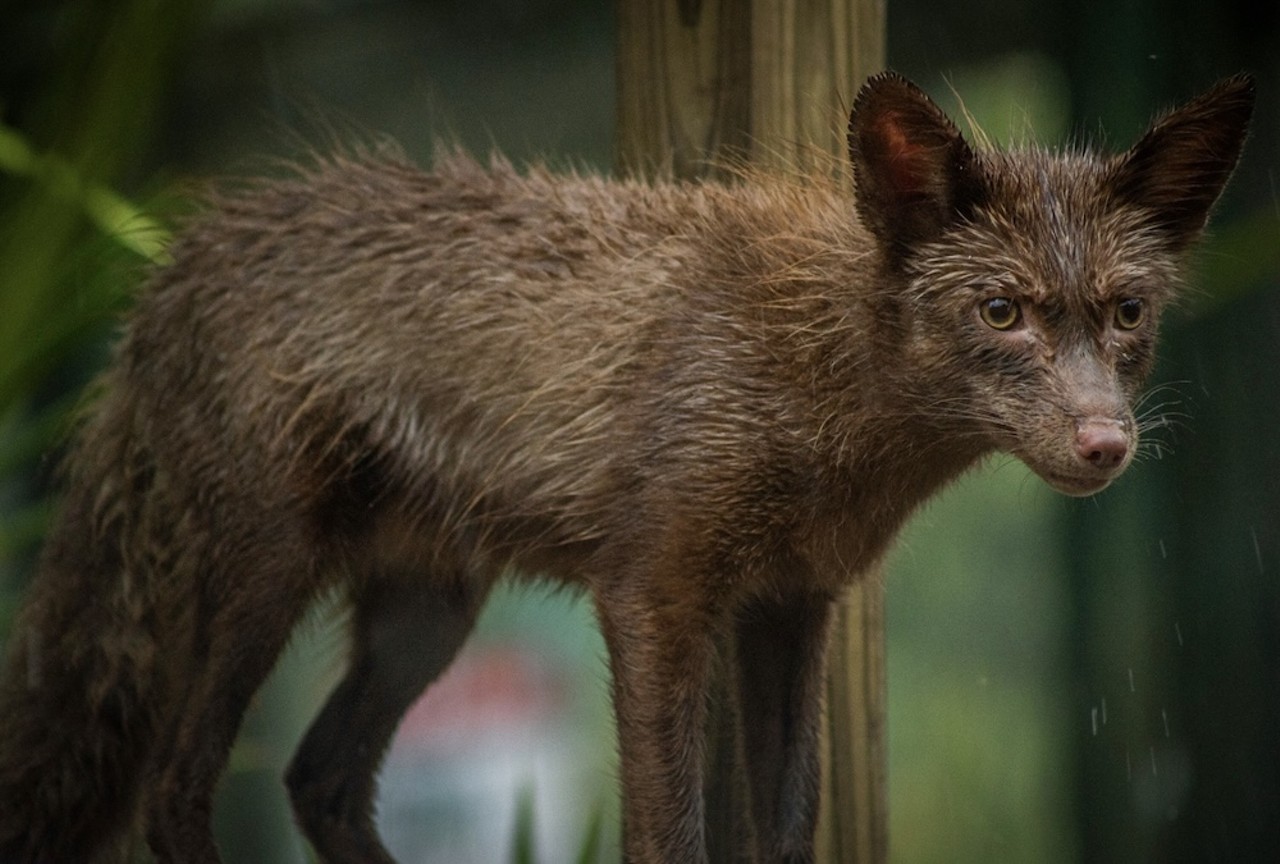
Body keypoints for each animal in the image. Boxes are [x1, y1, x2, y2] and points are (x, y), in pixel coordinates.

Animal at [0, 71, 1254, 860]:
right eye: (1001, 312)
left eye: (1125, 314)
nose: (1104, 444)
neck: (814, 398)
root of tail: (168, 273)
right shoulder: (653, 593)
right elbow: (667, 834)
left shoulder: (789, 605)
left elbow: (783, 828)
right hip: (262, 583)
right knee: (175, 792)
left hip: (424, 618)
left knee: (319, 781)